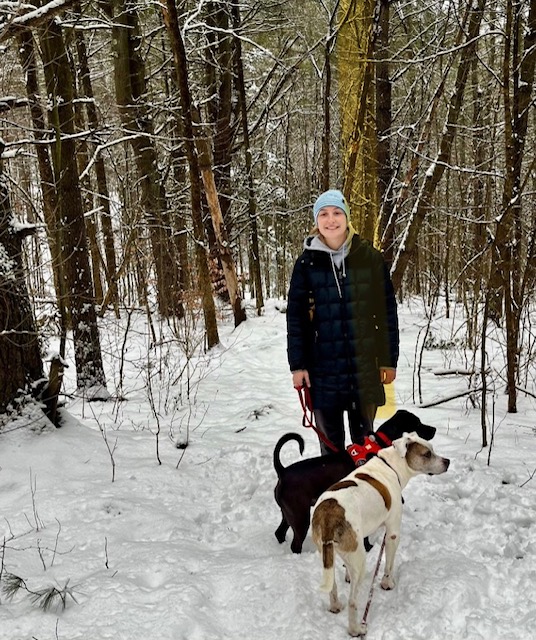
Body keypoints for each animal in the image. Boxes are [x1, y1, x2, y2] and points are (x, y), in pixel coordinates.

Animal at [274, 412, 438, 552]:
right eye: (417, 423)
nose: (434, 429)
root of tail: (283, 472)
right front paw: (368, 548)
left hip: (289, 514)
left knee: (279, 533)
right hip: (300, 517)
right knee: (295, 544)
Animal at [312, 432, 450, 636]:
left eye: (432, 449)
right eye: (427, 454)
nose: (447, 461)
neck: (391, 466)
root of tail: (328, 515)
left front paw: (347, 576)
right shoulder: (392, 532)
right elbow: (389, 563)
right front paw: (387, 583)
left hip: (326, 554)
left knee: (332, 586)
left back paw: (335, 606)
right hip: (359, 561)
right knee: (353, 601)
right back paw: (356, 629)